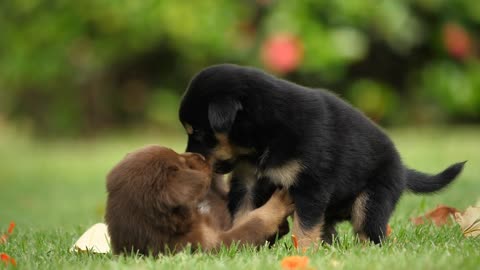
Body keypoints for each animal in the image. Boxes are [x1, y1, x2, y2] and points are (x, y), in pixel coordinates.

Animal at [179, 63, 464, 249]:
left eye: (200, 133)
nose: (188, 158)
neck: (264, 137)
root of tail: (402, 169)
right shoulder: (247, 183)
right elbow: (244, 215)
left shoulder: (310, 185)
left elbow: (304, 228)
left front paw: (304, 254)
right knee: (330, 230)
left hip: (372, 200)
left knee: (370, 233)